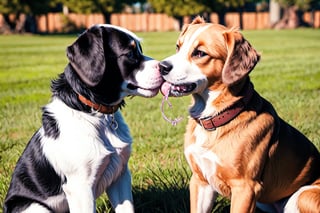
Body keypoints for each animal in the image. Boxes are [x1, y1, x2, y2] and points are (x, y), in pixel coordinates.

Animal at [2, 24, 162, 213]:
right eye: (130, 53)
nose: (164, 67)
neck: (95, 114)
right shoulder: (80, 187)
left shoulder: (120, 175)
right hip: (36, 207)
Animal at [159, 17, 318, 213]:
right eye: (178, 46)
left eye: (200, 53)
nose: (161, 66)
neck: (214, 120)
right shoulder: (200, 181)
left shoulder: (245, 188)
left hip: (302, 195)